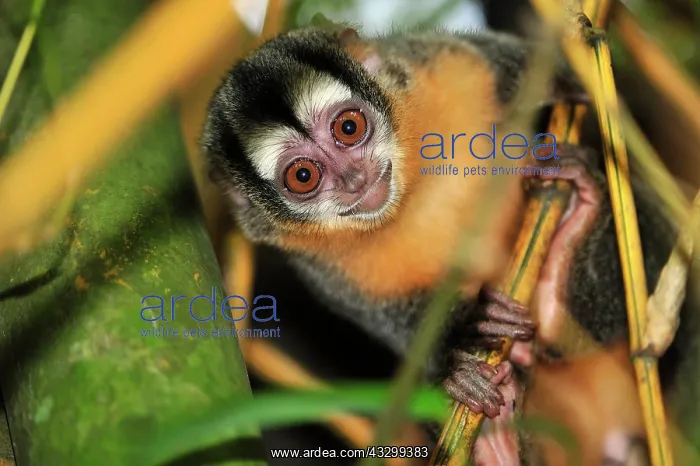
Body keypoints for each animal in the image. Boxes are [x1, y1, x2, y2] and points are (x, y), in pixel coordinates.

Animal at [201, 24, 678, 464]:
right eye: (303, 176)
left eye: (349, 127)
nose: (354, 179)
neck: (410, 194)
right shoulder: (321, 270)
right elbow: (401, 327)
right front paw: (461, 346)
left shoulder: (442, 63)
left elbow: (521, 64)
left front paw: (567, 87)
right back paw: (496, 435)